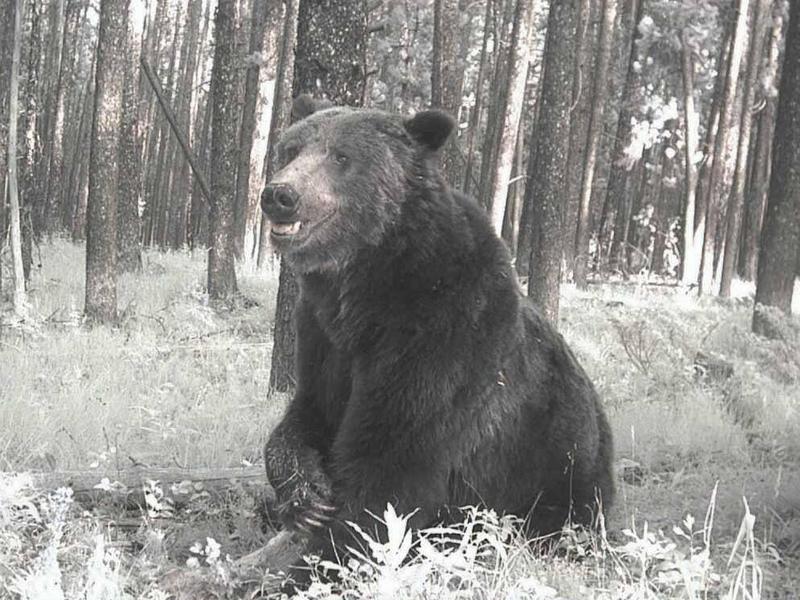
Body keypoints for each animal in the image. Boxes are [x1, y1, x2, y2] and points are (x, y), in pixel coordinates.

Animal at [260, 96, 616, 564]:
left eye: (341, 157)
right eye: (290, 149)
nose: (280, 195)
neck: (367, 285)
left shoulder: (445, 334)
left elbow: (390, 466)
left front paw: (327, 559)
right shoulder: (323, 336)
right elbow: (307, 415)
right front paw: (306, 497)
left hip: (558, 462)